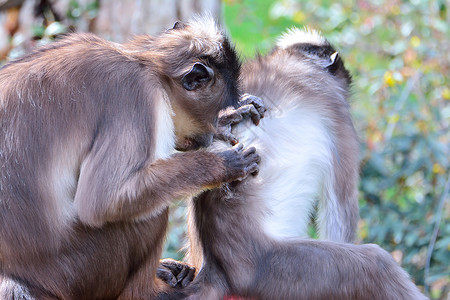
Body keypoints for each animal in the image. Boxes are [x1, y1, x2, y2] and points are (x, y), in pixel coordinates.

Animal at [0, 17, 260, 298]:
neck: (145, 62)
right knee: (150, 211)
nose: (208, 136)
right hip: (80, 270)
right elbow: (103, 200)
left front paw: (228, 122)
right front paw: (223, 163)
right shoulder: (137, 94)